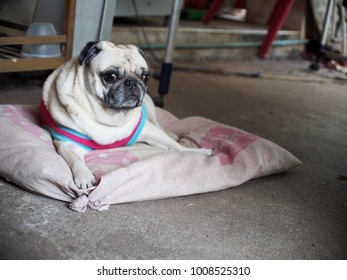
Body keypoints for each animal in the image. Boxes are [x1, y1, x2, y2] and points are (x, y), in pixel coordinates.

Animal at [41, 40, 213, 189]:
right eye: (110, 76)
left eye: (145, 77)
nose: (132, 82)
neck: (112, 117)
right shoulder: (66, 143)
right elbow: (75, 160)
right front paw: (84, 176)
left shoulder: (150, 131)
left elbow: (178, 147)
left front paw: (199, 152)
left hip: (150, 107)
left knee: (160, 126)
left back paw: (172, 134)